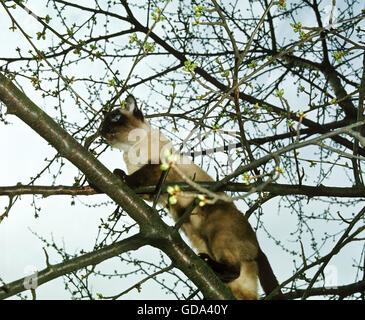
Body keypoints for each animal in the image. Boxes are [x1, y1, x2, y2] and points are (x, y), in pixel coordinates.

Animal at [99, 95, 278, 300]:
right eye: (103, 122)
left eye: (115, 118)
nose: (101, 129)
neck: (131, 149)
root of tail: (259, 248)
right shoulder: (151, 193)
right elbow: (140, 188)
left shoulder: (159, 169)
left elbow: (137, 176)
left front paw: (120, 176)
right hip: (212, 254)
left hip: (217, 230)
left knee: (234, 269)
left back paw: (208, 262)